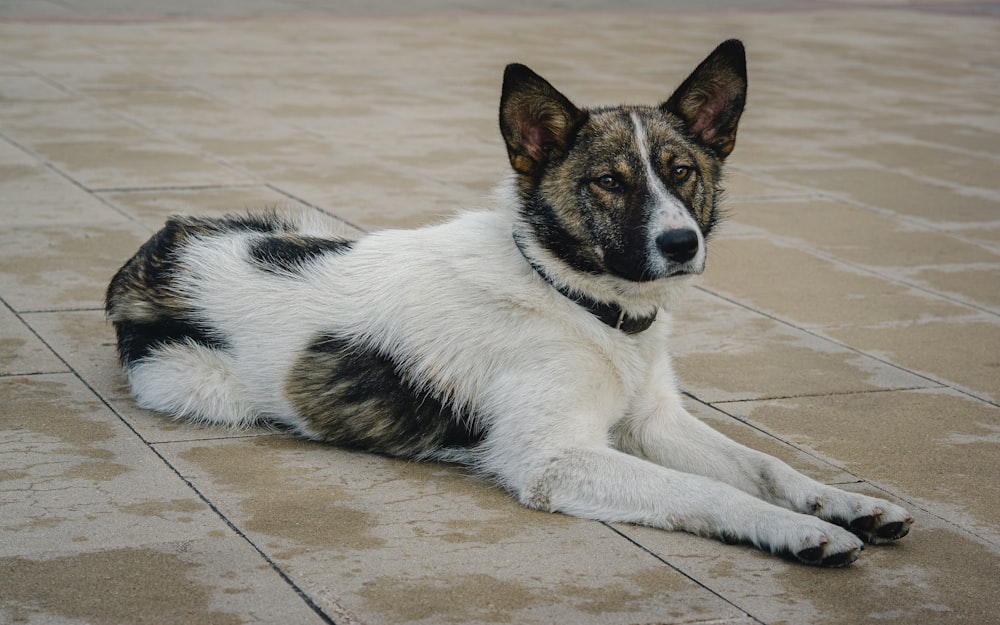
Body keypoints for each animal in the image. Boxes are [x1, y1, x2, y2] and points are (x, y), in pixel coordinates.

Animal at [107, 39, 916, 564]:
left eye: (682, 171)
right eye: (609, 182)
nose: (683, 243)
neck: (574, 297)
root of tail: (165, 241)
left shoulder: (655, 422)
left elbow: (766, 466)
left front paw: (845, 502)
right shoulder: (554, 458)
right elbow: (705, 491)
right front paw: (801, 532)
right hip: (196, 383)